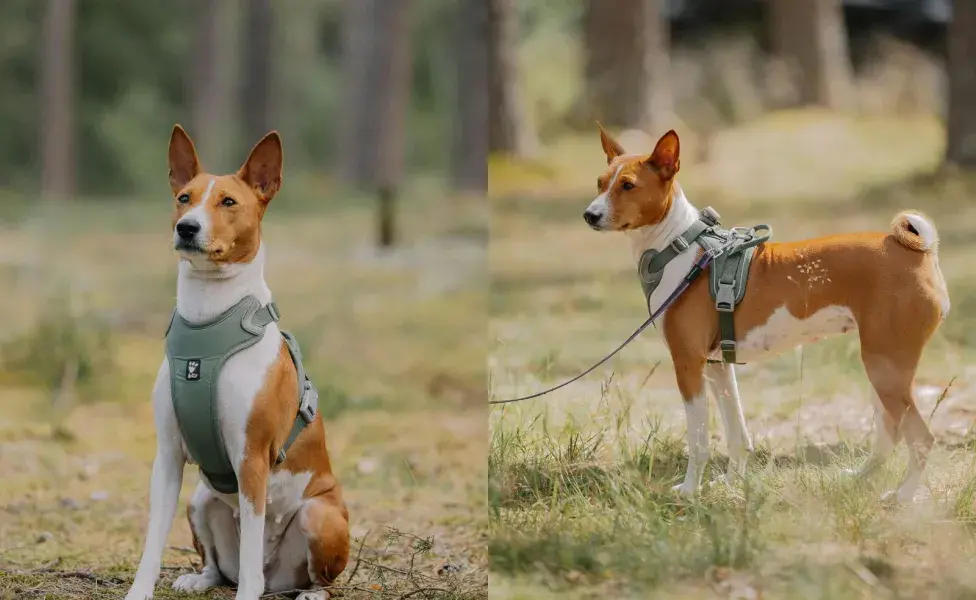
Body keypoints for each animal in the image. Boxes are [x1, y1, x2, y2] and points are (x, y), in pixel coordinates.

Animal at [124, 124, 348, 596]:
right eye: (184, 197)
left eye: (228, 202)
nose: (187, 227)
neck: (209, 321)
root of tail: (278, 576)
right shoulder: (167, 456)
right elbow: (153, 541)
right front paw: (139, 591)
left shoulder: (251, 459)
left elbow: (248, 560)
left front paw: (247, 594)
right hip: (200, 501)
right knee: (220, 565)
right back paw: (198, 579)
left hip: (319, 516)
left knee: (302, 573)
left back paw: (307, 591)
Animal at [584, 125, 948, 502]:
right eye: (600, 183)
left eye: (628, 185)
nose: (589, 214)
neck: (679, 249)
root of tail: (917, 252)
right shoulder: (717, 365)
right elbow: (735, 435)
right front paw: (730, 484)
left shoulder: (688, 363)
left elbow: (698, 440)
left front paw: (688, 490)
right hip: (881, 368)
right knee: (889, 433)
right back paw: (859, 479)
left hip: (885, 368)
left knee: (921, 438)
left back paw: (902, 496)